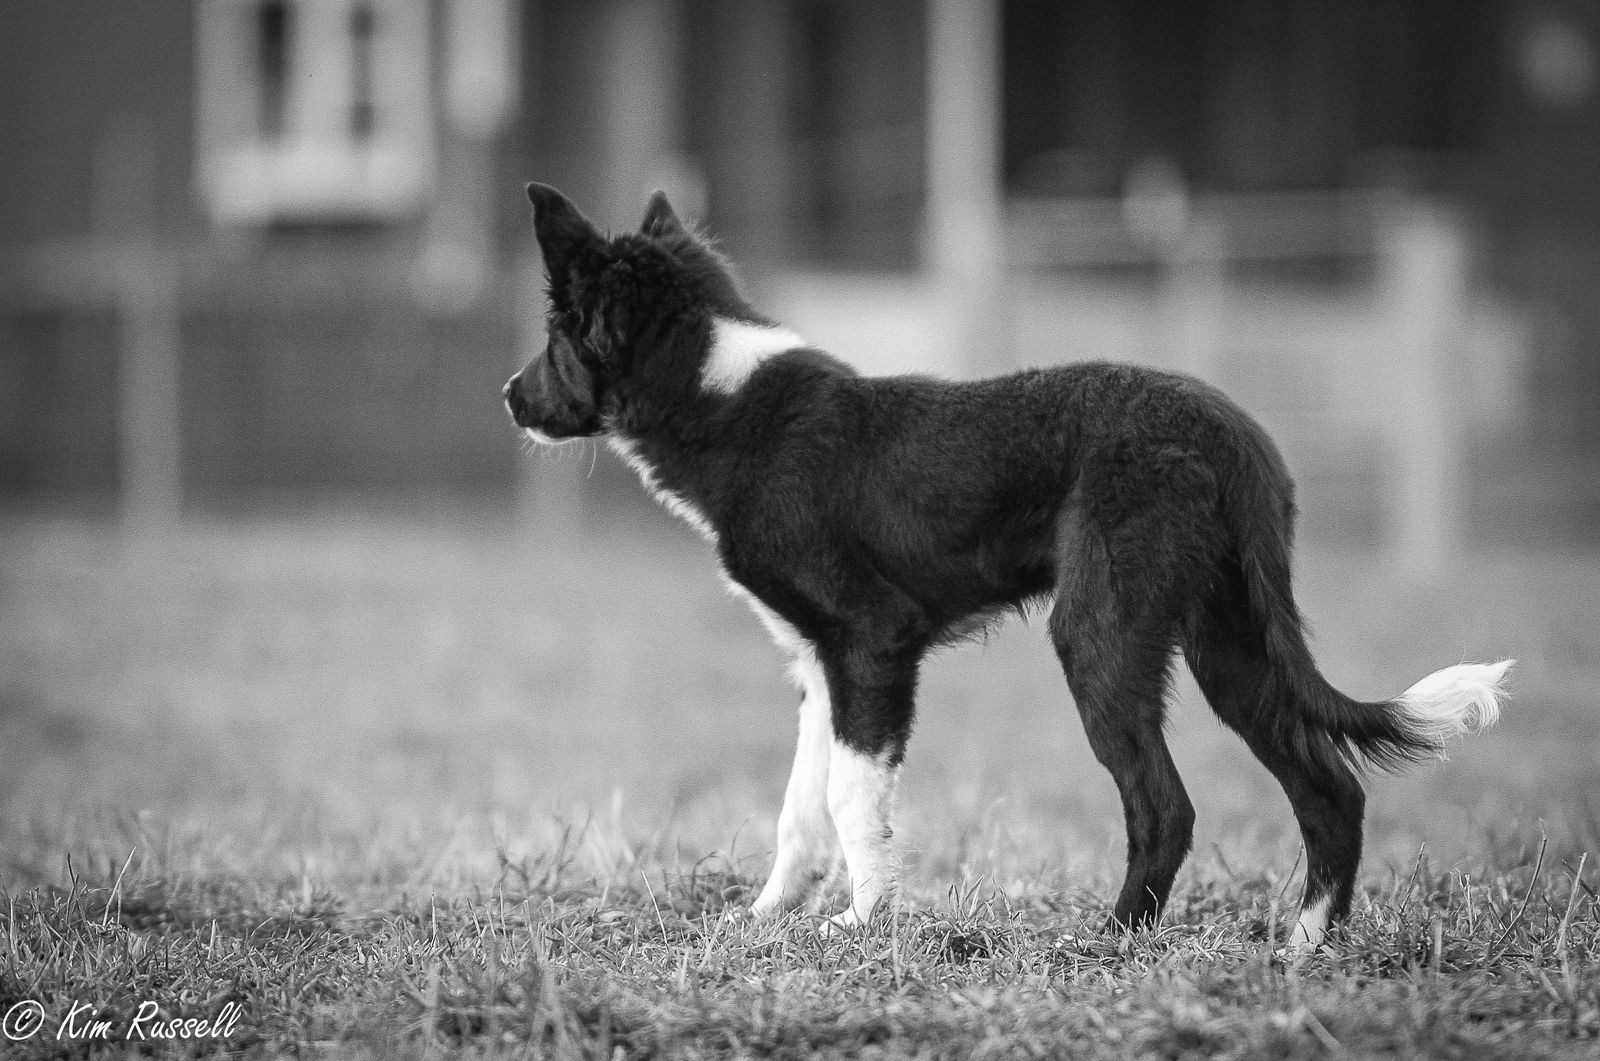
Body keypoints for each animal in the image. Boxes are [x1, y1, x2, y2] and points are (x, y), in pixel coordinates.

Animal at [504, 182, 1512, 948]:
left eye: (554, 335)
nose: (509, 394)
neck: (724, 396)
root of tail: (1230, 433)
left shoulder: (872, 642)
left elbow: (852, 796)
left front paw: (860, 925)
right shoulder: (819, 667)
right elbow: (802, 803)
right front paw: (766, 917)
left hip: (1100, 631)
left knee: (1166, 804)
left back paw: (1116, 940)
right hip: (1232, 640)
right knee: (1329, 788)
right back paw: (1303, 945)